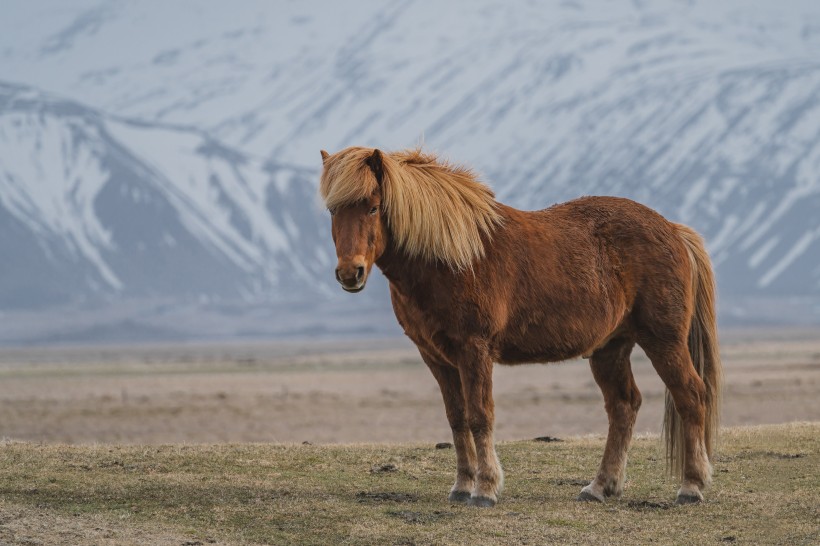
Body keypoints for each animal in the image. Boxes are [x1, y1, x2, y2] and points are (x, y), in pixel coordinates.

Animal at [318, 146, 720, 506]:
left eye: (372, 206)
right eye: (333, 210)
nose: (350, 273)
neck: (450, 258)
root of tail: (673, 229)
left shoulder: (474, 349)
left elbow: (480, 416)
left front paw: (485, 489)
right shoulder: (436, 358)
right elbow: (457, 419)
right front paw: (462, 486)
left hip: (663, 340)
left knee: (690, 395)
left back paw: (691, 486)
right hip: (610, 348)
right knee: (623, 405)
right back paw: (600, 487)